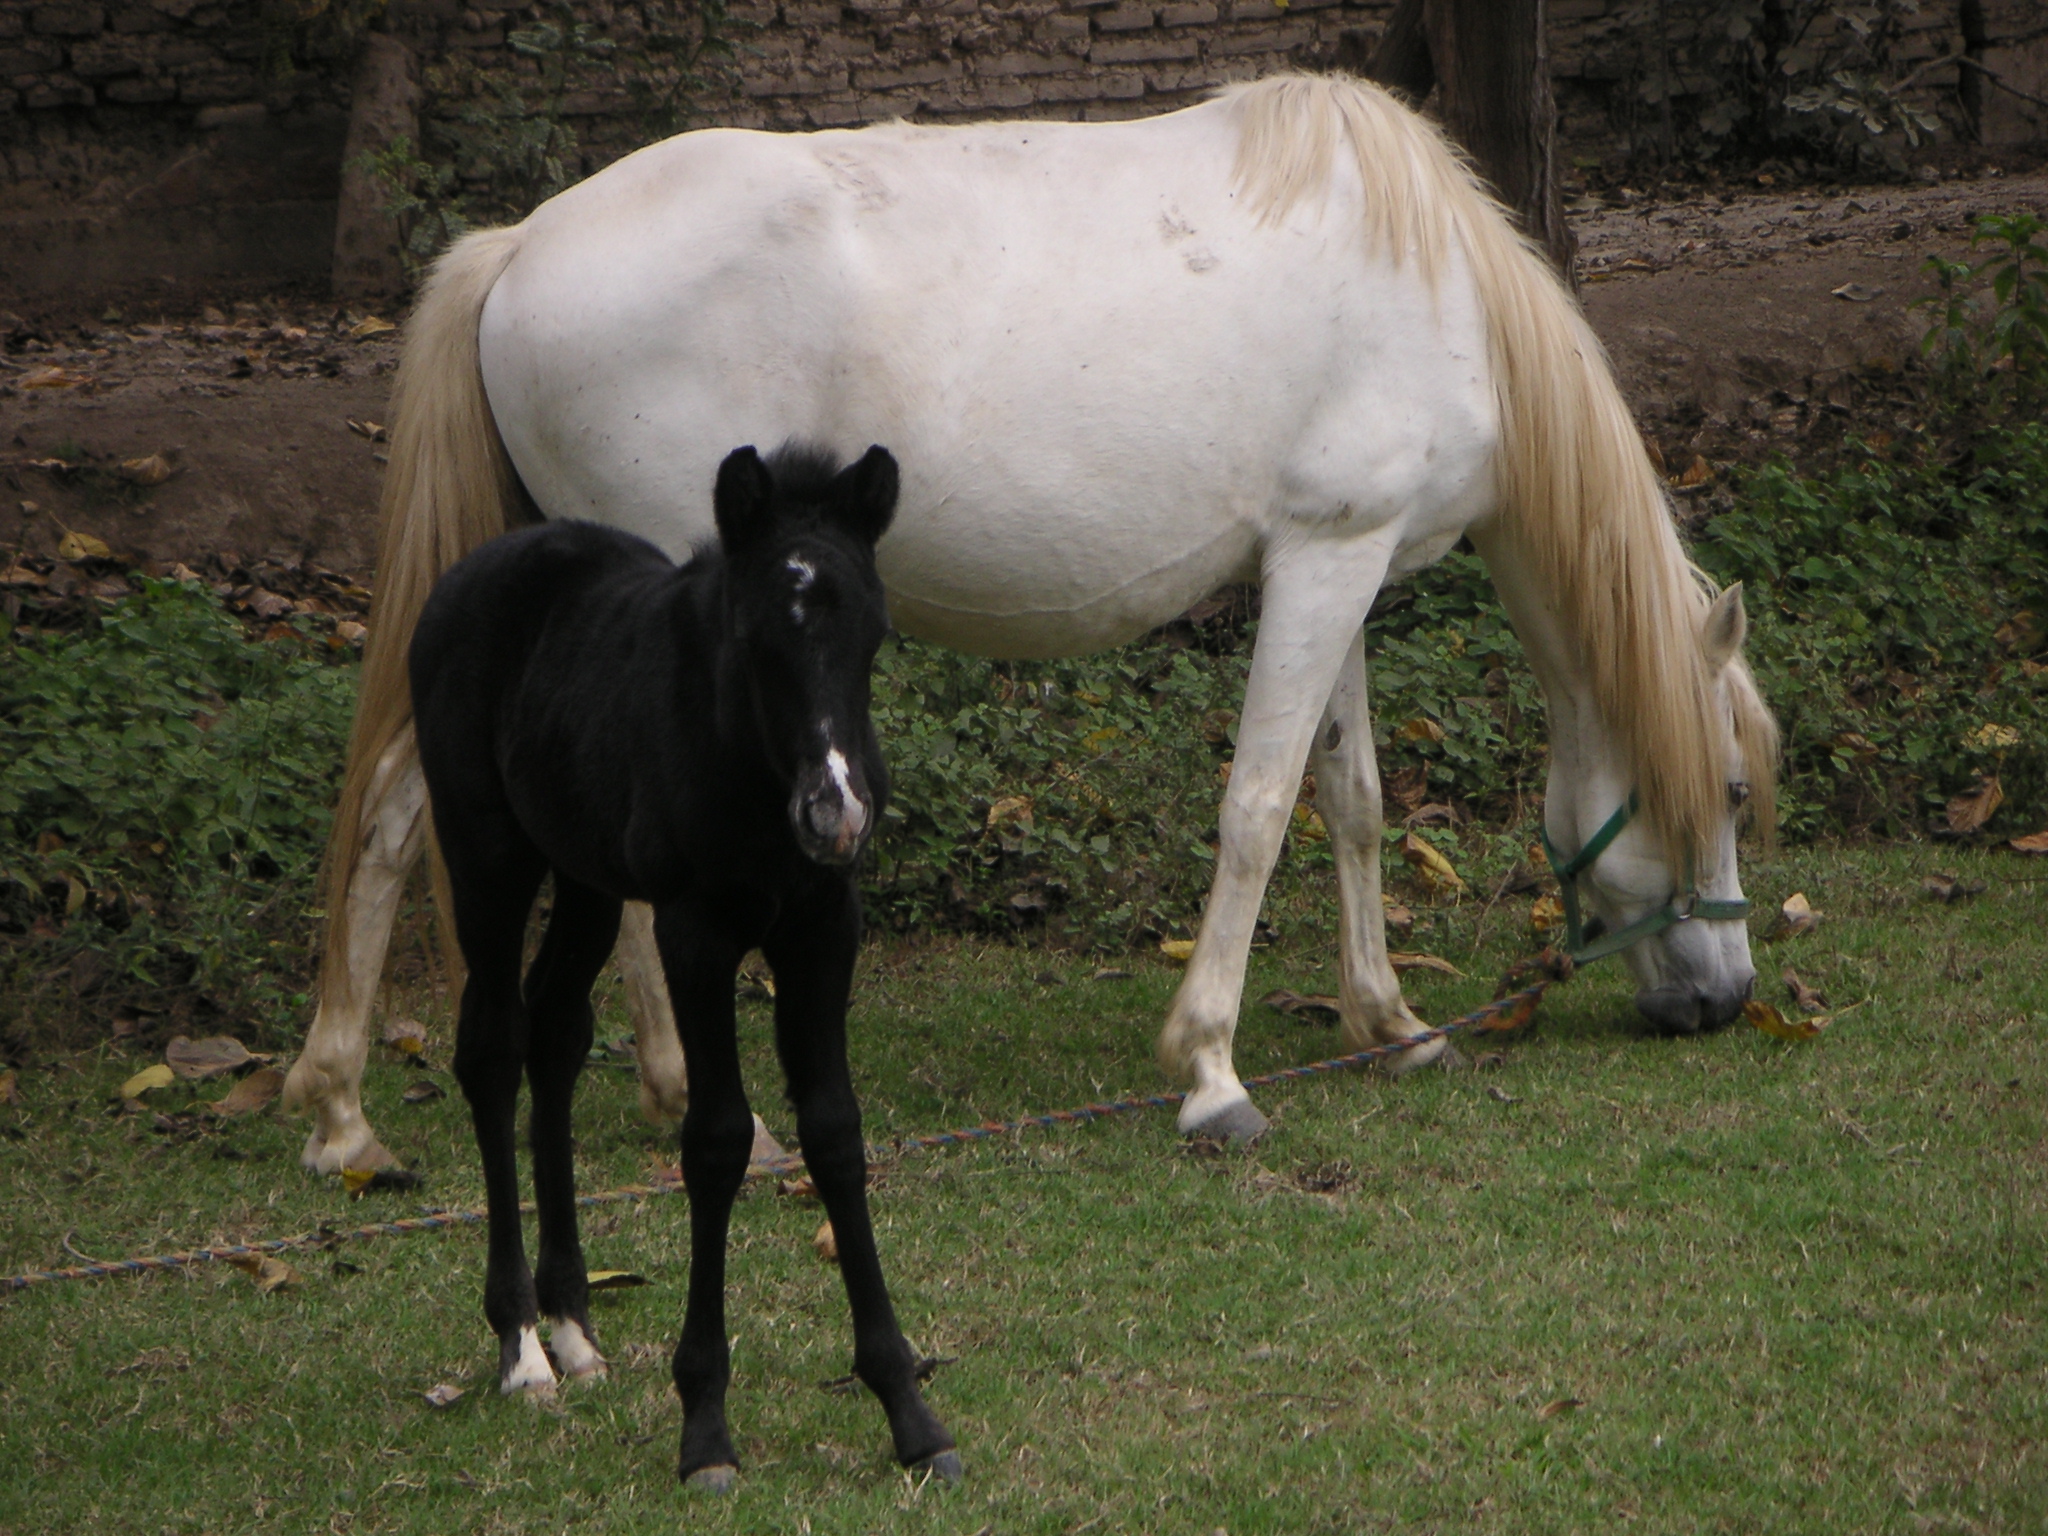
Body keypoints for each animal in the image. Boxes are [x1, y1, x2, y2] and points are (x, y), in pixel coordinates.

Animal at [284, 75, 1777, 1179]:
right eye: (1731, 791)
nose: (1721, 1004)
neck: (1437, 289)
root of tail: (518, 249)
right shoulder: (1324, 566)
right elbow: (1256, 812)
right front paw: (1213, 1073)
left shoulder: (1331, 560)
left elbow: (1346, 801)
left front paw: (1393, 1022)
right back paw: (708, 1117)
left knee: (399, 807)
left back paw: (345, 1116)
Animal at [415, 442, 966, 1490]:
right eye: (755, 636)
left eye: (875, 633)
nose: (835, 815)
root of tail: (479, 566)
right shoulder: (696, 932)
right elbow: (715, 1141)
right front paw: (705, 1426)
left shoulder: (823, 925)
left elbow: (835, 1131)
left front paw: (909, 1411)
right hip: (487, 855)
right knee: (494, 1049)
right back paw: (522, 1347)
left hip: (587, 878)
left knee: (555, 1034)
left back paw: (575, 1326)